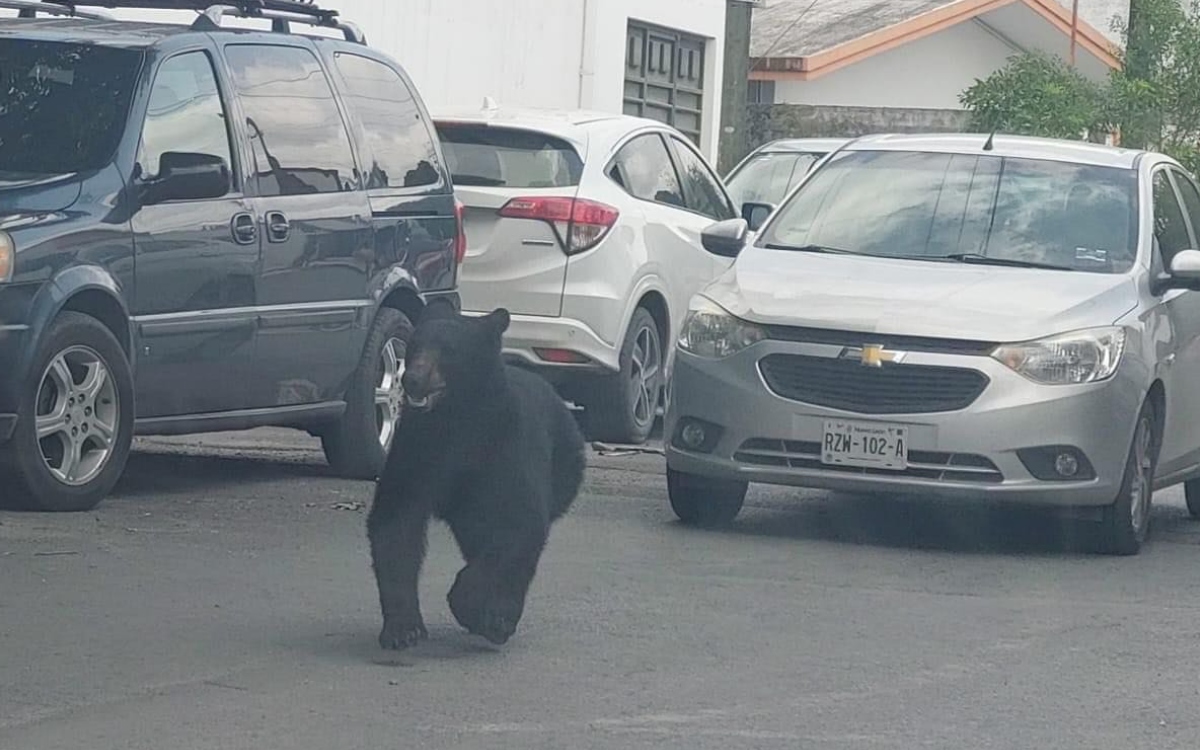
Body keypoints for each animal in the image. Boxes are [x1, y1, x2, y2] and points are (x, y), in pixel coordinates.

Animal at [366, 304, 586, 649]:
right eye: (415, 345)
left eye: (449, 350)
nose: (412, 379)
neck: (457, 419)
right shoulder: (417, 451)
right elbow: (395, 521)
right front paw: (404, 628)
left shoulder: (507, 447)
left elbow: (518, 521)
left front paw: (474, 607)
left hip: (564, 470)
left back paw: (503, 616)